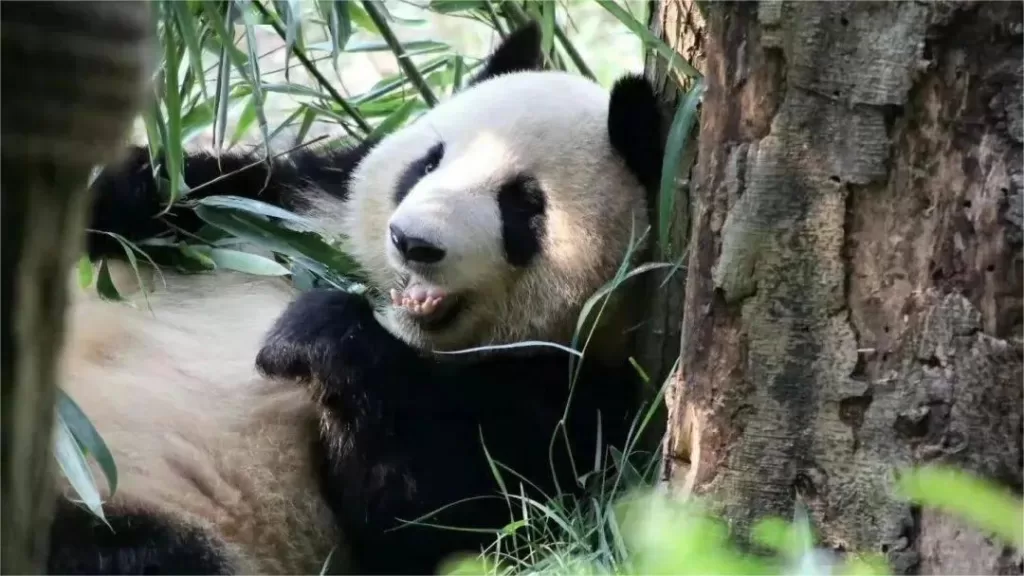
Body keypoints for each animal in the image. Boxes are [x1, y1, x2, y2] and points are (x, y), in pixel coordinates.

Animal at [49, 21, 663, 573]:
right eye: (429, 161)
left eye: (523, 205)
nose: (411, 241)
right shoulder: (297, 211)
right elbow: (210, 192)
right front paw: (118, 190)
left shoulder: (579, 398)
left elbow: (449, 513)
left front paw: (309, 333)